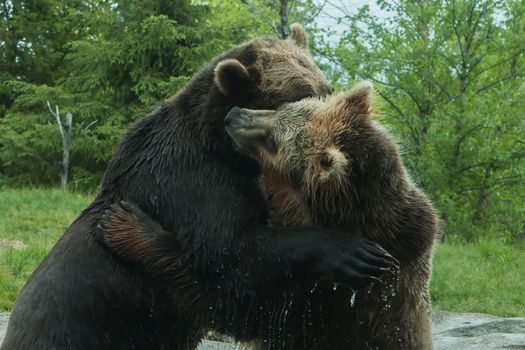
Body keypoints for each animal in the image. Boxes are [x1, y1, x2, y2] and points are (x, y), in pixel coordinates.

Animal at [1, 25, 392, 350]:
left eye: (327, 90)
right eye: (302, 96)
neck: (224, 148)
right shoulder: (195, 186)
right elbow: (226, 256)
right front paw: (352, 252)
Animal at [100, 82, 436, 350]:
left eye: (274, 141)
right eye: (283, 108)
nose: (233, 115)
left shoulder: (329, 301)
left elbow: (231, 298)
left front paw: (126, 224)